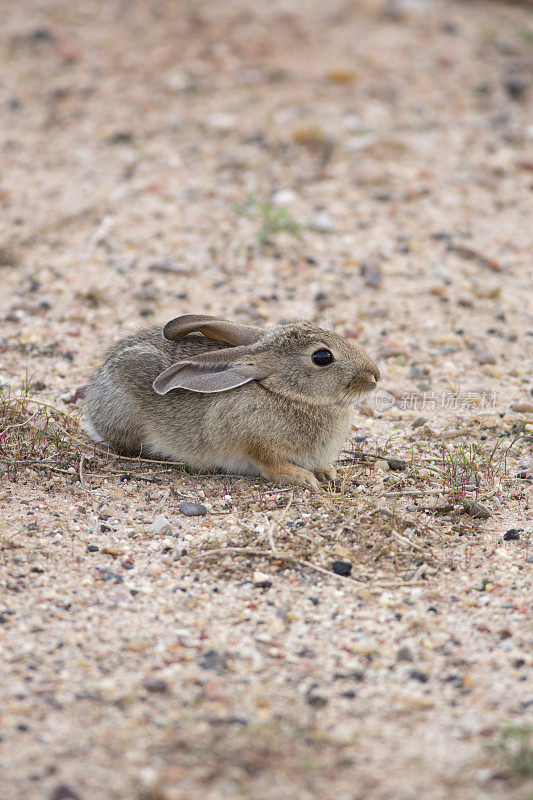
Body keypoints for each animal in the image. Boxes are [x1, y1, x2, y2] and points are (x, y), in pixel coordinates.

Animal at [85, 312, 378, 488]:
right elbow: (271, 465)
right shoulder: (252, 442)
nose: (375, 375)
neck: (285, 392)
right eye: (322, 357)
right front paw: (304, 478)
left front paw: (328, 473)